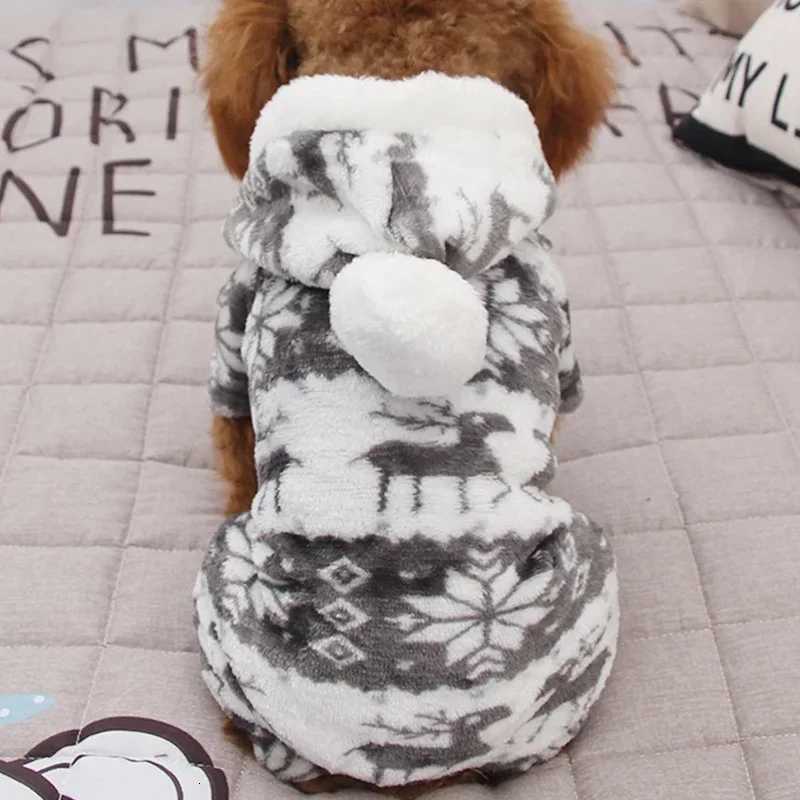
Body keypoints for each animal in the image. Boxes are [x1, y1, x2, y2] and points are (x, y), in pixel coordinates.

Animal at [360, 402, 515, 514]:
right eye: (483, 421)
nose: (511, 426)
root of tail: (369, 451)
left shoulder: (477, 471)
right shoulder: (476, 470)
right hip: (396, 469)